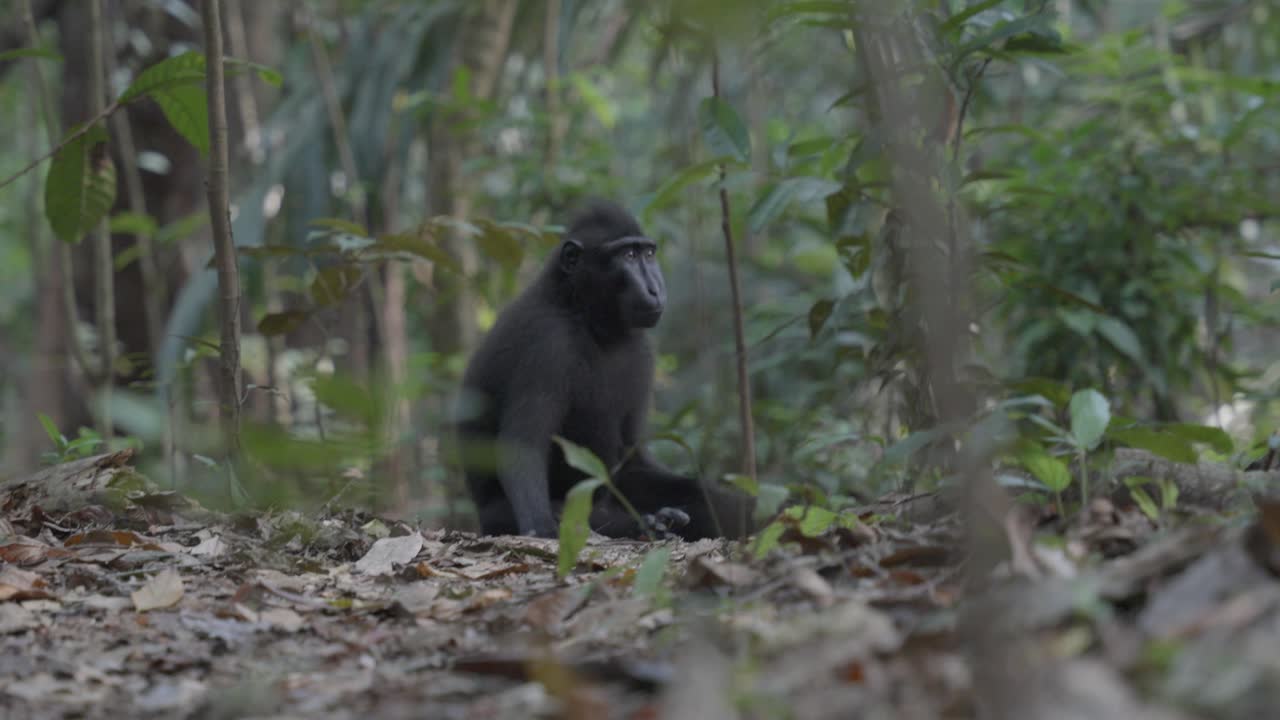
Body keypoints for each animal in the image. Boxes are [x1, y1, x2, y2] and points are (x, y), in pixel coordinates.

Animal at [454, 201, 755, 540]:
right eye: (628, 255)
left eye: (648, 253)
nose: (655, 289)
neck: (580, 310)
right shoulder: (547, 343)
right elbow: (523, 446)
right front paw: (541, 523)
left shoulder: (642, 351)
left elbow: (634, 458)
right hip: (495, 515)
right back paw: (647, 523)